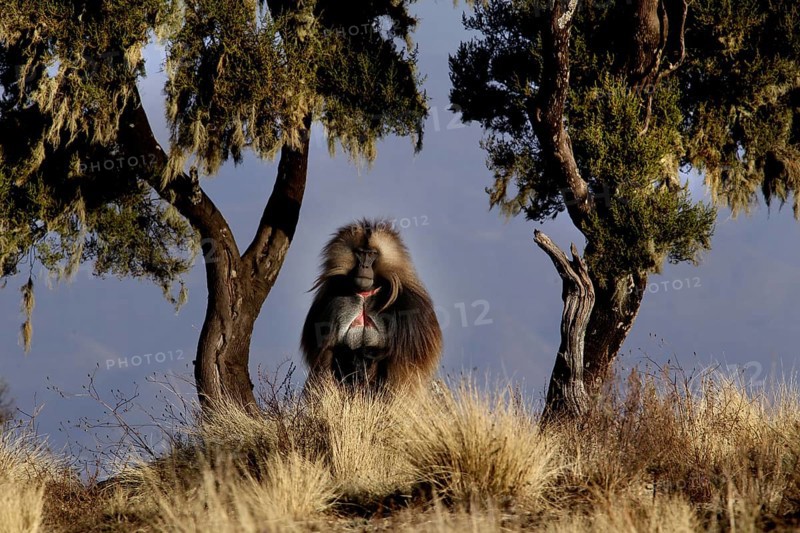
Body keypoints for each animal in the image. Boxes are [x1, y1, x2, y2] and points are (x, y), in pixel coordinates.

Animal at [301, 219, 442, 394]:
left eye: (372, 254)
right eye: (360, 253)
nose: (364, 267)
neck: (365, 296)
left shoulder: (410, 306)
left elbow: (403, 358)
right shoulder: (330, 300)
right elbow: (327, 351)